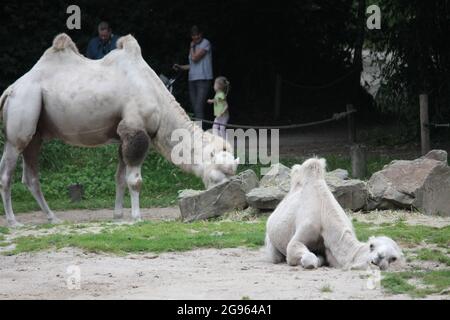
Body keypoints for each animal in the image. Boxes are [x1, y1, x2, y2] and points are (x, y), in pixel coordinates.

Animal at [0, 33, 239, 226]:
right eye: (218, 178)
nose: (226, 204)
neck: (157, 98)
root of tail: (10, 90)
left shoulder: (123, 135)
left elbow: (120, 178)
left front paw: (118, 215)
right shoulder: (135, 130)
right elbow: (135, 180)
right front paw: (136, 217)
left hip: (35, 134)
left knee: (31, 177)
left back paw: (52, 218)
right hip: (22, 114)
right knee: (7, 171)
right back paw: (13, 222)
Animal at [266, 158, 402, 270]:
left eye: (393, 258)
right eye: (372, 246)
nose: (379, 260)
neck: (324, 219)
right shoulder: (304, 231)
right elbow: (302, 254)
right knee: (274, 257)